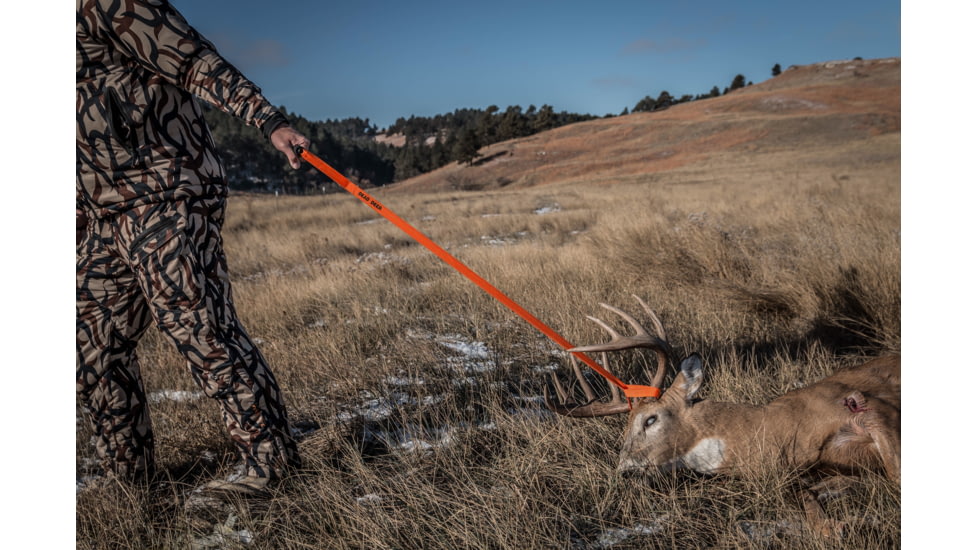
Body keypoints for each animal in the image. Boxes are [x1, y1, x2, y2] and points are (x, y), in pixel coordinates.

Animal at [544, 296, 900, 537]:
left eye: (650, 419)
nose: (625, 471)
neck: (773, 431)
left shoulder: (869, 406)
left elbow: (894, 474)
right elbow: (813, 504)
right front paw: (836, 523)